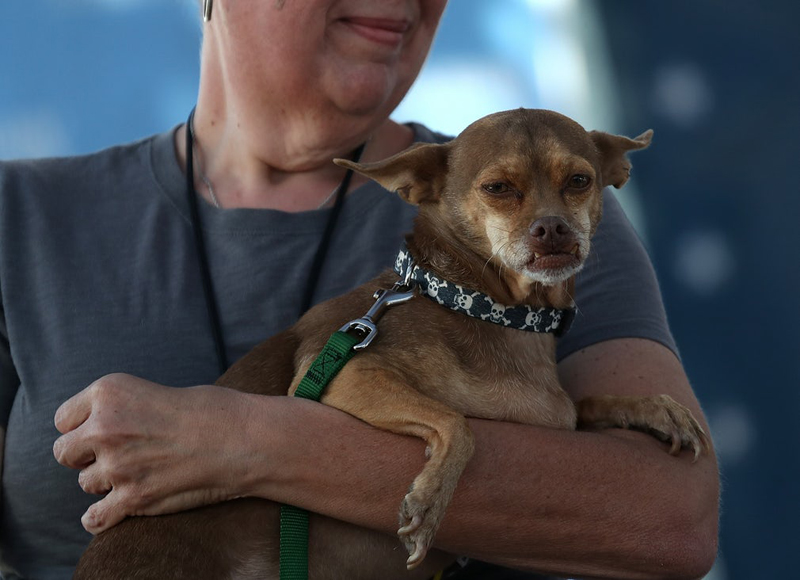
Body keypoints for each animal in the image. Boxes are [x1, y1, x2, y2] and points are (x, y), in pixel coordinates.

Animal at [73, 110, 708, 580]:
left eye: (579, 180)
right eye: (498, 189)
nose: (552, 229)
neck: (484, 305)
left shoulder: (560, 417)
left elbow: (587, 405)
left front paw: (657, 409)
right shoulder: (341, 371)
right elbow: (460, 424)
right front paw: (430, 502)